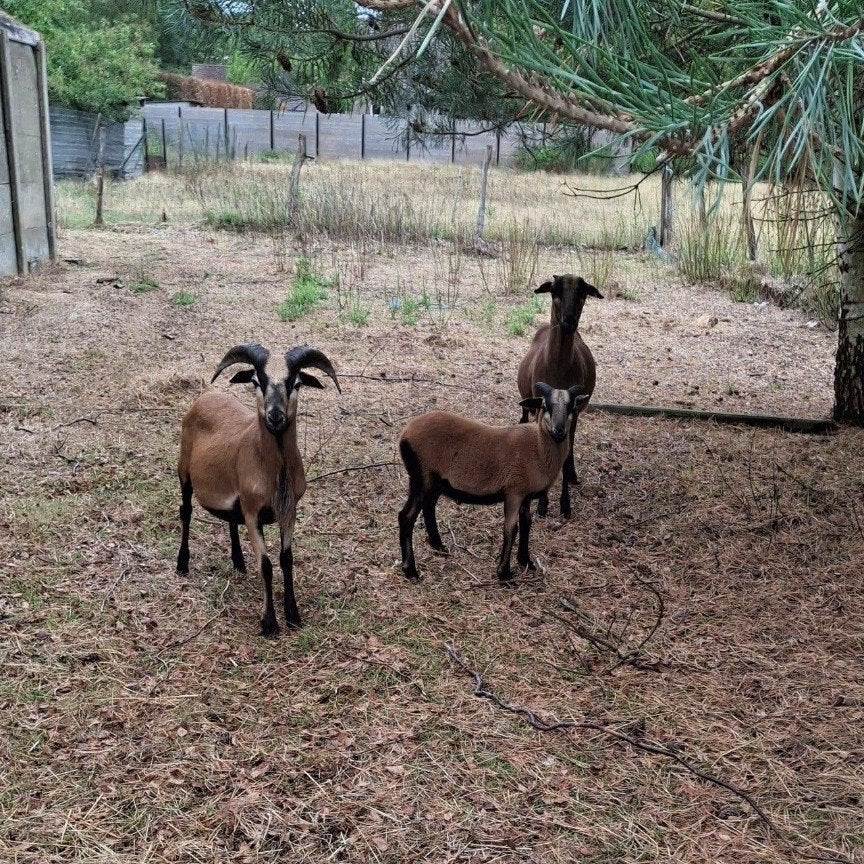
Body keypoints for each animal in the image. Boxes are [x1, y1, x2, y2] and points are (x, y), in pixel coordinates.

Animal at [176, 343, 340, 636]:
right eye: (255, 381)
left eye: (296, 383)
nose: (275, 416)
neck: (273, 472)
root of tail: (206, 396)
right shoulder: (253, 513)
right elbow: (265, 565)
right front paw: (270, 624)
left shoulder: (289, 510)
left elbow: (286, 559)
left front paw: (293, 616)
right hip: (184, 470)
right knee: (186, 511)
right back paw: (182, 564)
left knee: (230, 520)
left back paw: (238, 563)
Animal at [398, 383, 589, 582]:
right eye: (545, 406)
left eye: (571, 407)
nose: (559, 430)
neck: (538, 448)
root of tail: (405, 433)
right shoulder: (514, 492)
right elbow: (511, 529)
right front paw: (504, 573)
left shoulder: (526, 496)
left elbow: (526, 524)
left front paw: (526, 562)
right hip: (421, 476)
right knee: (406, 516)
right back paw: (411, 570)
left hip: (435, 482)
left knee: (428, 507)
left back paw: (439, 547)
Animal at [517, 274, 602, 518]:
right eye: (555, 291)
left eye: (583, 293)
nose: (568, 320)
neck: (558, 367)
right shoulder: (541, 410)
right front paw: (542, 505)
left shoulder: (571, 415)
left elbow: (564, 455)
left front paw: (564, 504)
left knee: (569, 448)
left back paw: (572, 475)